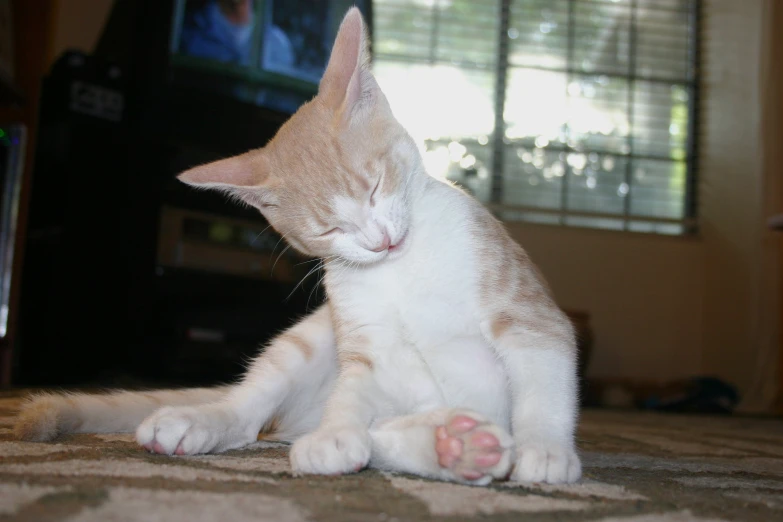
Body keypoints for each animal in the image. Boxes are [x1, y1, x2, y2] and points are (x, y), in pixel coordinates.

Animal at [13, 8, 580, 486]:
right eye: (327, 230)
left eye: (376, 185)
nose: (380, 240)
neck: (400, 270)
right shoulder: (363, 345)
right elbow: (353, 393)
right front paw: (338, 431)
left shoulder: (526, 313)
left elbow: (543, 379)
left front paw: (546, 448)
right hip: (308, 339)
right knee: (257, 417)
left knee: (380, 435)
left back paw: (455, 446)